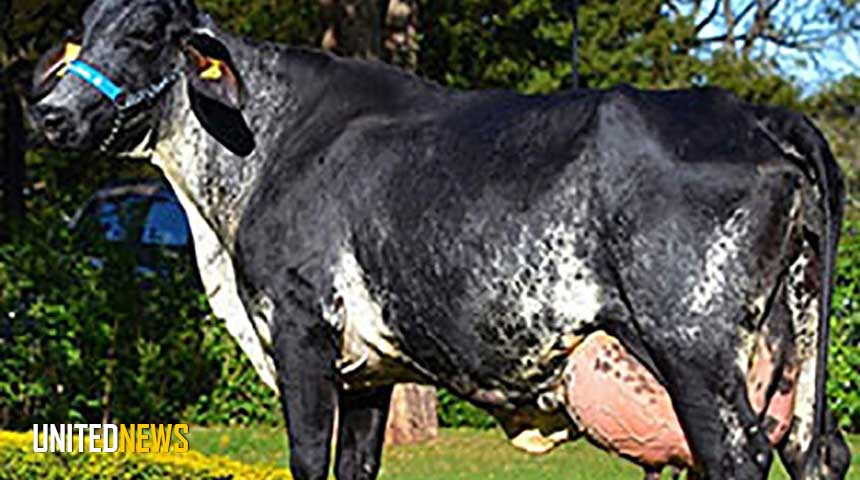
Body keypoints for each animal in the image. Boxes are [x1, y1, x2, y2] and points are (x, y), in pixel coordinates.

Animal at [29, 0, 850, 478]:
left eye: (144, 36)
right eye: (83, 32)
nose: (48, 113)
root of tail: (756, 113)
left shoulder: (299, 331)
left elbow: (308, 459)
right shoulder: (369, 370)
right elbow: (354, 467)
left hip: (694, 353)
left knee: (739, 457)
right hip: (789, 353)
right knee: (821, 450)